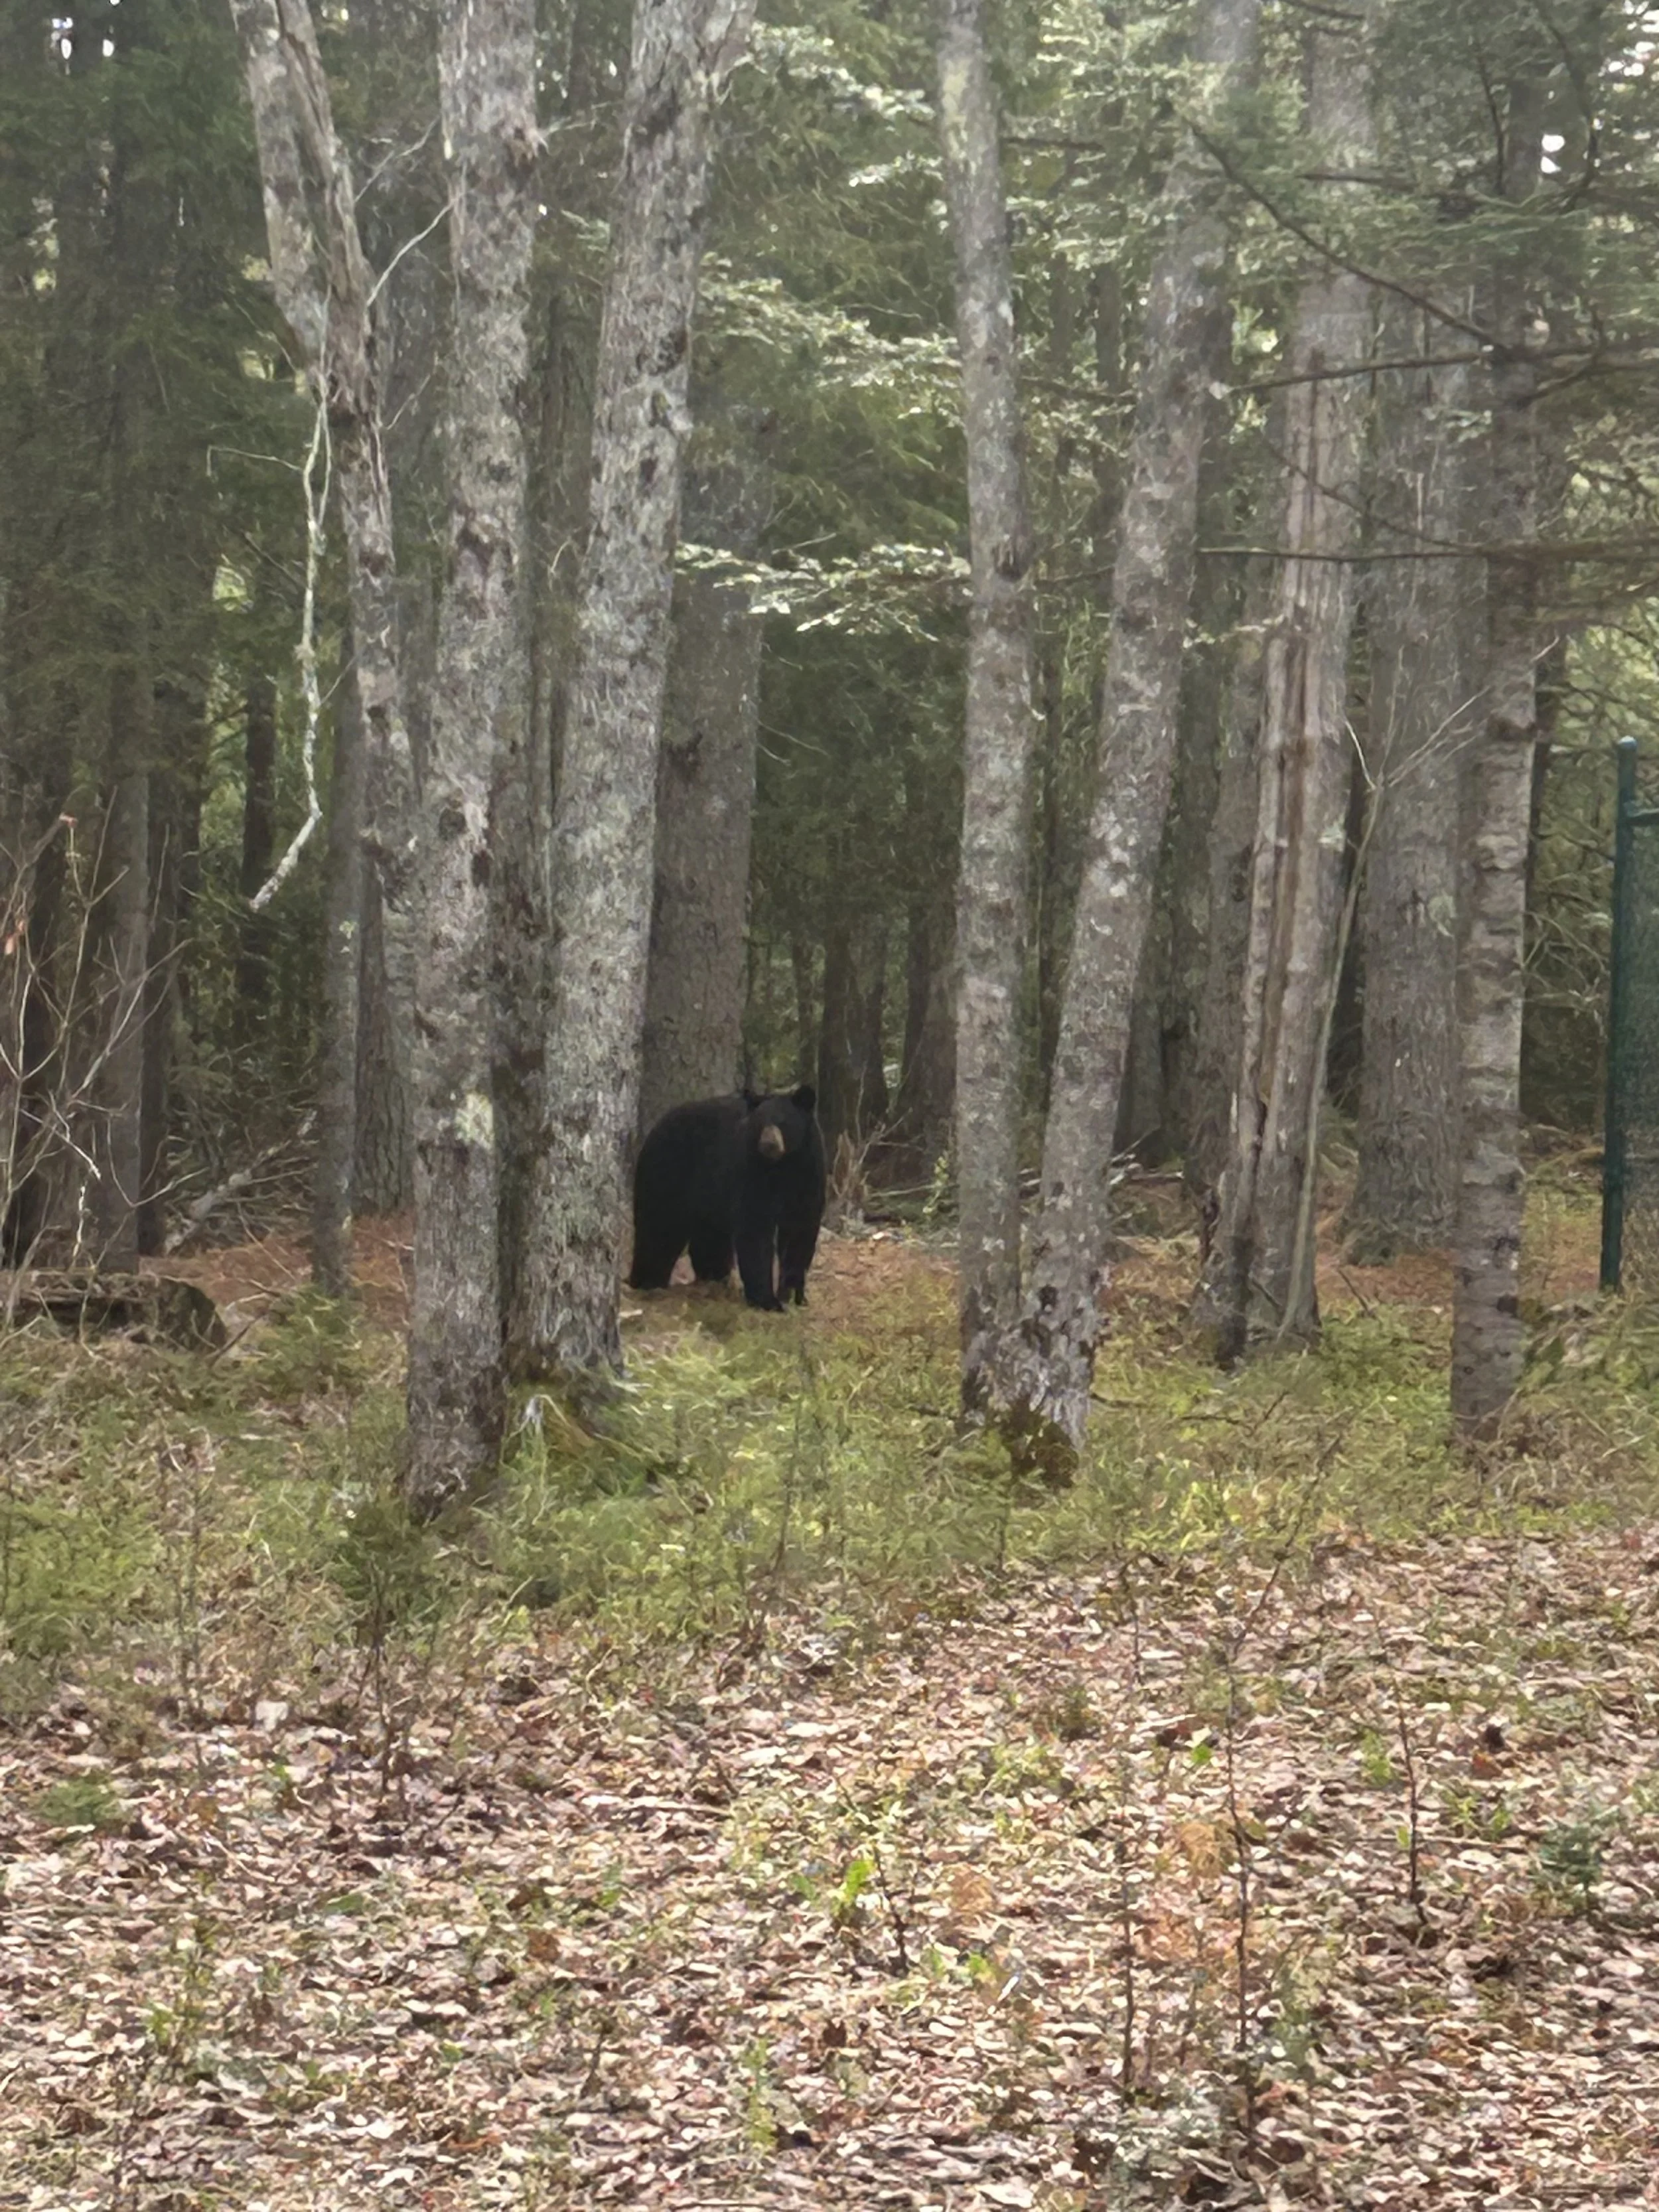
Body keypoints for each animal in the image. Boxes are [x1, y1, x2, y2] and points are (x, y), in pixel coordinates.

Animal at [629, 1085, 826, 1311]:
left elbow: (800, 1230)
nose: (768, 1144)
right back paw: (648, 1282)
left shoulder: (809, 1175)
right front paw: (767, 1300)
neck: (784, 1165)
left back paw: (715, 1277)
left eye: (783, 1121)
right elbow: (755, 1226)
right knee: (659, 1228)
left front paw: (793, 1294)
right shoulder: (754, 1171)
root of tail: (655, 1128)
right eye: (759, 1123)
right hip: (668, 1171)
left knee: (710, 1237)